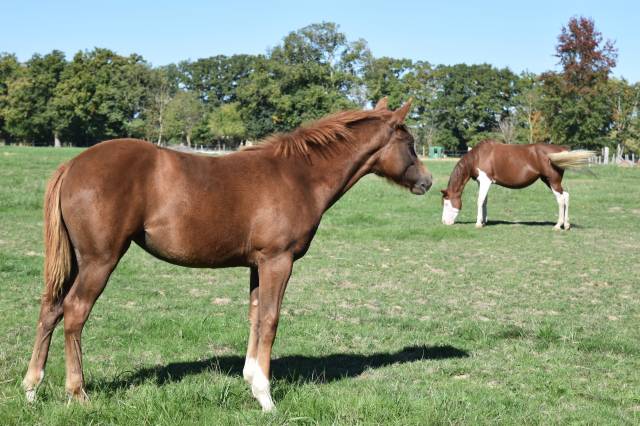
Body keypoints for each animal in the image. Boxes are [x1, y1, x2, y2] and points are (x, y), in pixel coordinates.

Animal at [22, 98, 432, 411]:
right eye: (410, 142)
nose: (427, 182)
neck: (298, 175)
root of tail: (72, 164)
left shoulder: (257, 264)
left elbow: (254, 316)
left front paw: (251, 380)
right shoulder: (278, 261)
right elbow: (270, 319)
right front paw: (266, 398)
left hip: (77, 260)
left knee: (51, 309)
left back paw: (31, 388)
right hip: (99, 260)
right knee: (75, 311)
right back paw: (77, 393)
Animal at [440, 140, 594, 230]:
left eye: (446, 203)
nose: (444, 222)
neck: (478, 156)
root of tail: (560, 150)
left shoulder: (485, 181)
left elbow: (479, 201)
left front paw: (478, 223)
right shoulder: (482, 182)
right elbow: (484, 201)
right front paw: (484, 221)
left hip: (553, 181)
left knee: (561, 199)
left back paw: (558, 225)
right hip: (549, 181)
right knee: (566, 196)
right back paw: (566, 225)